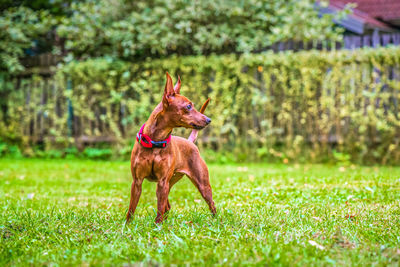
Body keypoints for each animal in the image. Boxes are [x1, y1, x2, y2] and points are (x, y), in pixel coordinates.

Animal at [126, 73, 217, 224]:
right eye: (188, 106)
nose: (209, 120)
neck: (156, 142)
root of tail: (190, 142)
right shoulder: (137, 182)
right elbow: (131, 209)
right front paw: (127, 226)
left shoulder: (162, 182)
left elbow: (159, 209)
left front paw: (157, 226)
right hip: (170, 183)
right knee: (167, 206)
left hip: (201, 185)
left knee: (212, 204)